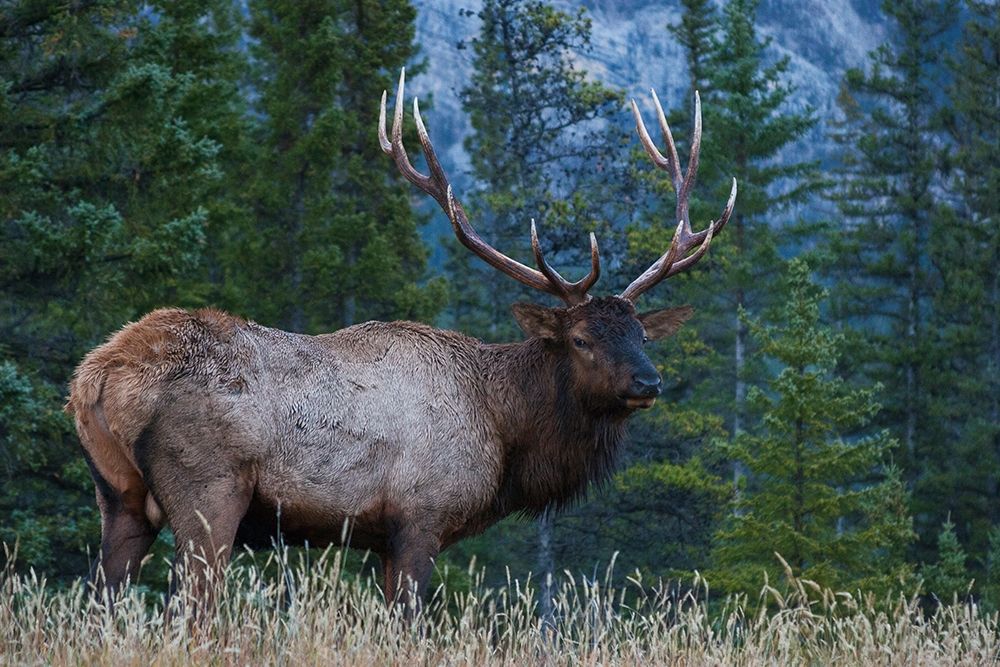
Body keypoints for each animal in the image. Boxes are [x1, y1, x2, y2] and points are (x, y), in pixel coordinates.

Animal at [66, 69, 736, 611]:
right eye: (579, 339)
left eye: (641, 333)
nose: (648, 381)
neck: (505, 431)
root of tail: (99, 375)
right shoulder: (420, 517)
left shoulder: (380, 539)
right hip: (209, 492)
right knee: (188, 609)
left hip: (118, 497)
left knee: (101, 600)